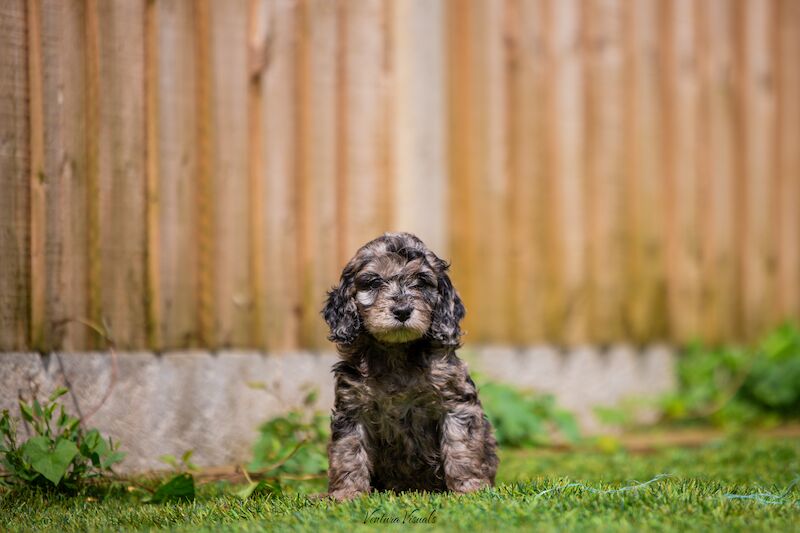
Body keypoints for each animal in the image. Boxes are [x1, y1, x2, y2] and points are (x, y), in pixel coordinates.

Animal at [322, 230, 496, 498]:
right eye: (374, 282)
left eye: (422, 282)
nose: (403, 310)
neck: (397, 352)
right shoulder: (351, 407)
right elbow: (348, 451)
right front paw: (347, 494)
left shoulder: (456, 402)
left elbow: (461, 447)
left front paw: (469, 489)